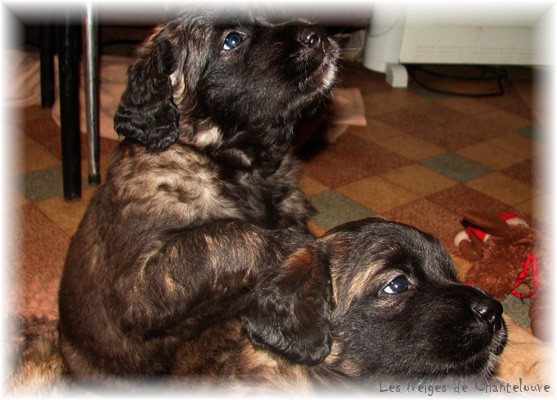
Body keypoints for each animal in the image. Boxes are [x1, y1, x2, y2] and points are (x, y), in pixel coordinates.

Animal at [57, 8, 338, 378]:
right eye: (231, 40)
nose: (316, 35)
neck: (241, 167)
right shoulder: (138, 286)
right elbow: (219, 235)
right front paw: (290, 245)